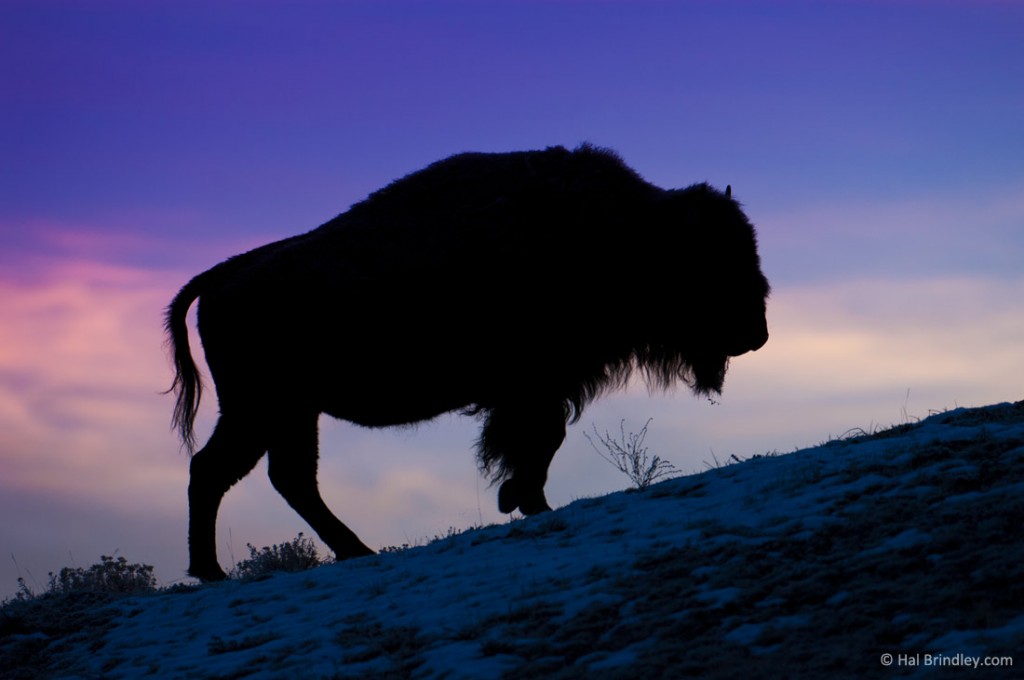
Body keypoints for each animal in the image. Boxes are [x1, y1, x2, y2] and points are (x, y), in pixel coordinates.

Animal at [165, 143, 770, 577]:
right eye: (713, 256)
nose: (758, 334)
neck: (628, 230)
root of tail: (224, 276)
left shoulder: (540, 387)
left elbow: (540, 440)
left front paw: (523, 499)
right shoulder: (535, 384)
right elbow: (539, 440)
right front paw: (520, 498)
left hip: (287, 413)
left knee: (279, 477)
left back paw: (349, 551)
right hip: (261, 408)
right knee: (222, 471)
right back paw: (217, 570)